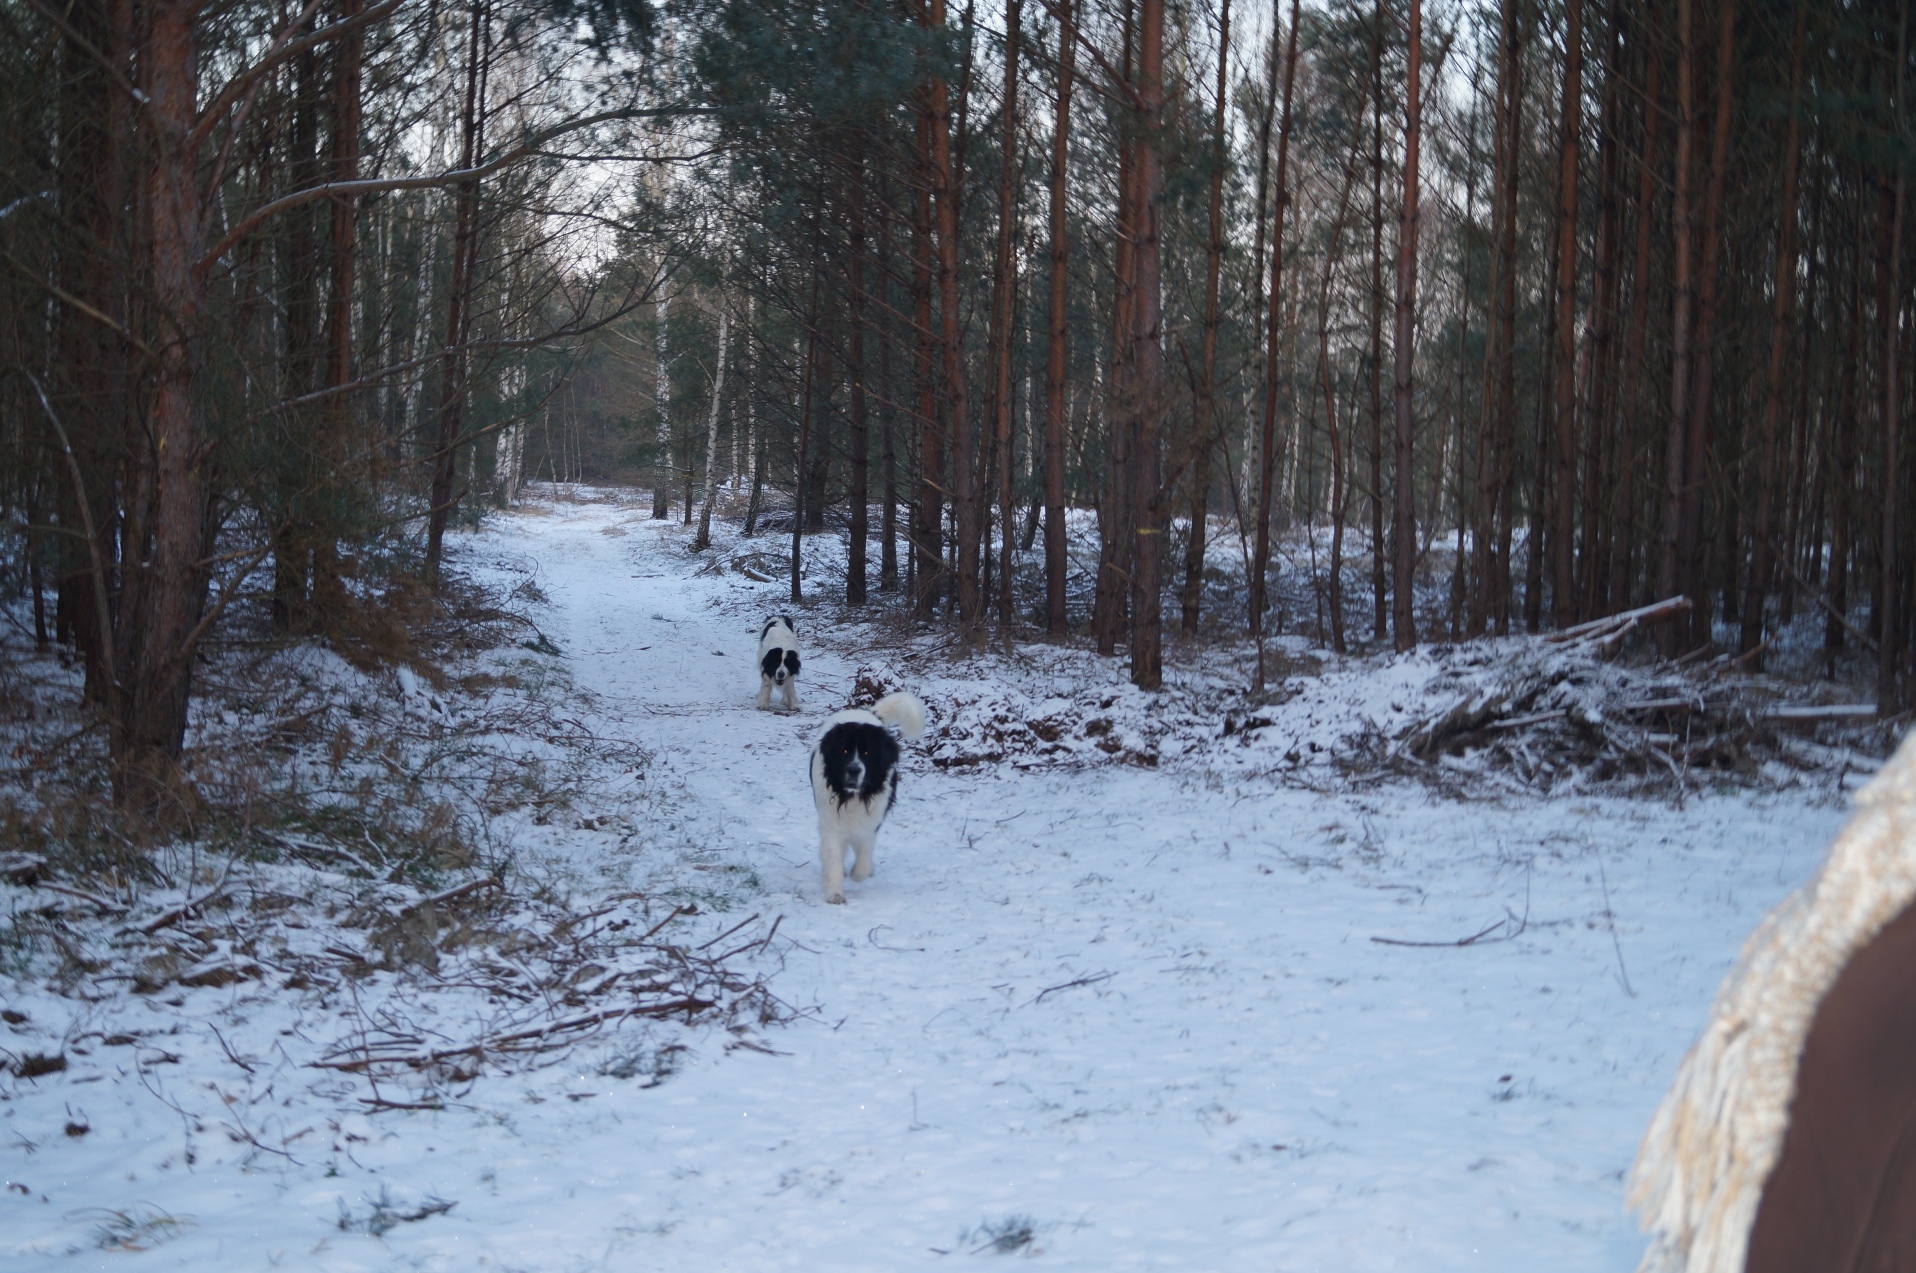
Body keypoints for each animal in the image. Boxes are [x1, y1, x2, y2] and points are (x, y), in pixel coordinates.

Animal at [808, 697, 927, 904]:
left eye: (867, 753)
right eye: (844, 751)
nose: (854, 770)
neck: (853, 797)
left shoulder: (871, 822)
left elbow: (864, 852)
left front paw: (859, 873)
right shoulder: (831, 823)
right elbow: (834, 856)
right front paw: (835, 893)